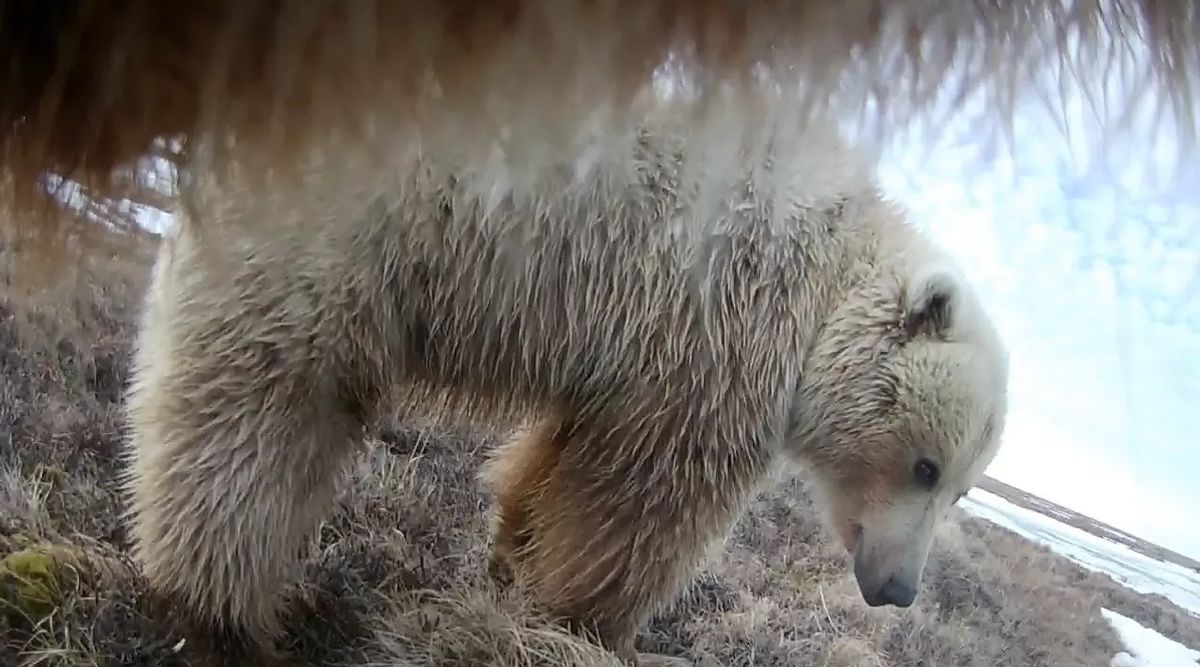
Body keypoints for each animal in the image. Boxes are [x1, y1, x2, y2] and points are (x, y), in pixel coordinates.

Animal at [121, 121, 1008, 666]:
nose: (897, 590)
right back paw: (219, 609)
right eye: (926, 466)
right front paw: (600, 627)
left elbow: (563, 455)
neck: (828, 278)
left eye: (965, 489)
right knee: (263, 411)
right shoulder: (714, 324)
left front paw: (511, 551)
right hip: (346, 236)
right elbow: (642, 499)